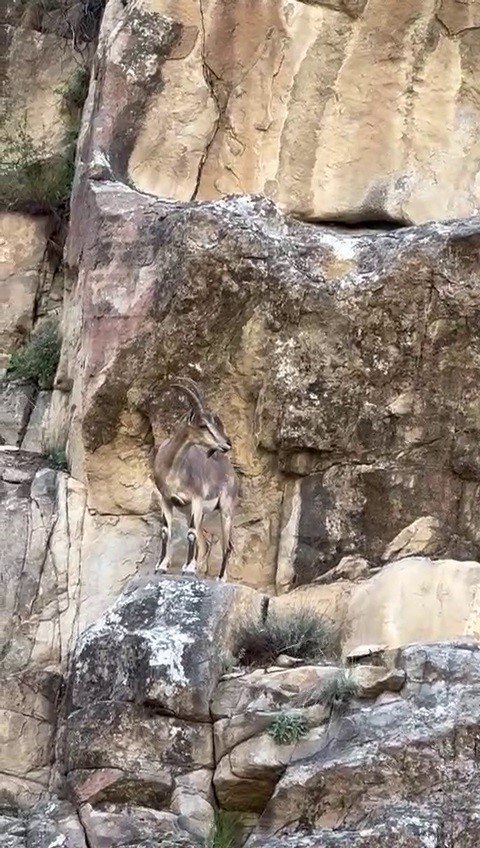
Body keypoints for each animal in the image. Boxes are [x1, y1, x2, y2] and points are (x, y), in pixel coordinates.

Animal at [153, 380, 237, 580]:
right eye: (203, 425)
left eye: (212, 422)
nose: (227, 443)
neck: (173, 469)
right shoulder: (166, 500)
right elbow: (165, 531)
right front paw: (161, 567)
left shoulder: (197, 499)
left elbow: (190, 534)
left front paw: (188, 569)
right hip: (198, 513)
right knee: (205, 542)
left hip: (226, 508)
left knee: (227, 545)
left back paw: (221, 577)